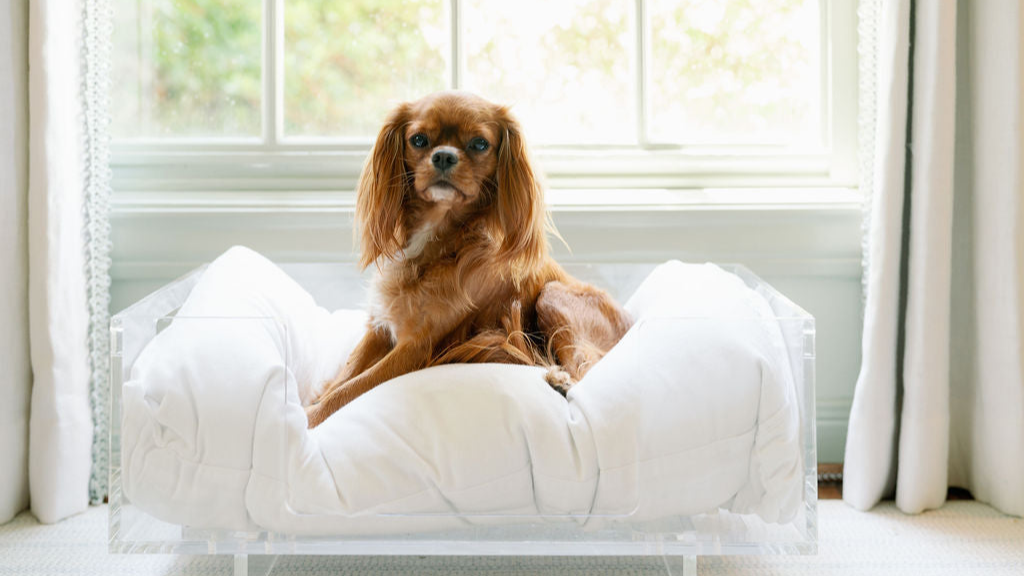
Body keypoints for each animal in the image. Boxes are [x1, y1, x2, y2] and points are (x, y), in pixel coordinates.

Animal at [303, 90, 630, 426]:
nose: (444, 156)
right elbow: (347, 373)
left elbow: (353, 388)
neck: (437, 241)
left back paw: (561, 381)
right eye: (418, 140)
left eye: (479, 144)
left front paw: (309, 417)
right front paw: (315, 398)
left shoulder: (416, 348)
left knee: (588, 367)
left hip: (553, 295)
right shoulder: (380, 328)